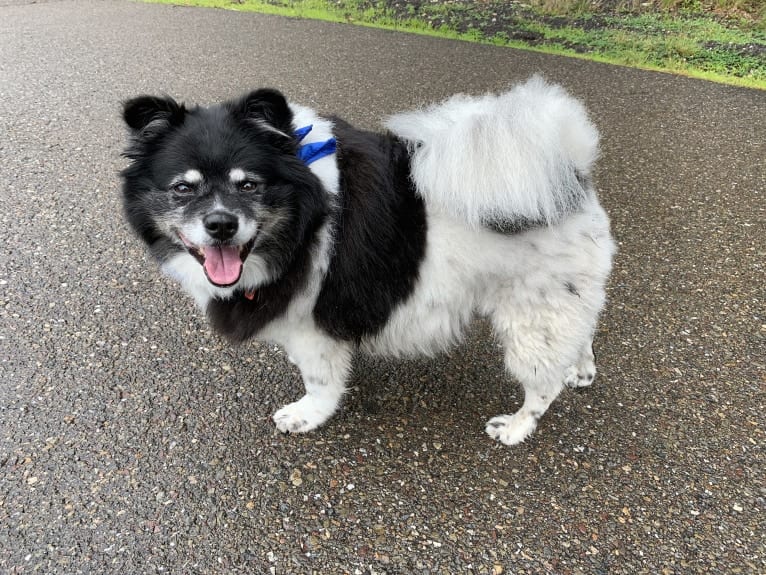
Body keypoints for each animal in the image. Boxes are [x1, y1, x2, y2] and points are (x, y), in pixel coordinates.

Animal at [120, 75, 616, 446]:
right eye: (183, 188)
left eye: (249, 185)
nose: (221, 224)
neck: (304, 212)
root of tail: (570, 171)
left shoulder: (312, 326)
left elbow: (320, 382)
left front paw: (306, 416)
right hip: (564, 303)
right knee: (582, 335)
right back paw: (581, 369)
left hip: (532, 318)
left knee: (542, 387)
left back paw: (515, 427)